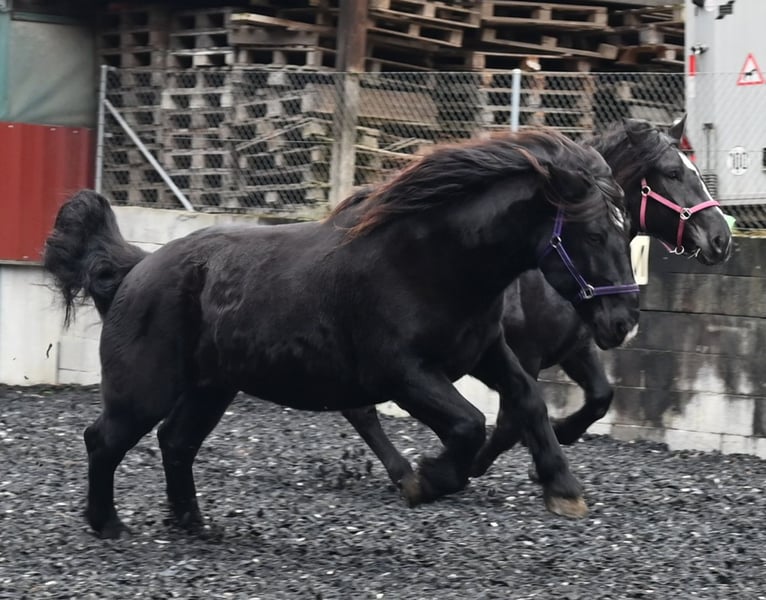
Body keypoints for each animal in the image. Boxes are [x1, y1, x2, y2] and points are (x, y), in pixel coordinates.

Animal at [44, 129, 639, 539]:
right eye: (591, 233)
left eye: (626, 229)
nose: (624, 320)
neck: (428, 262)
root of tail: (137, 268)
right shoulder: (402, 373)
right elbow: (469, 425)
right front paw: (425, 479)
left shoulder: (486, 352)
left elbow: (528, 402)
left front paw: (563, 489)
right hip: (146, 388)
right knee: (104, 439)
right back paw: (107, 523)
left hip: (212, 386)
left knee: (176, 441)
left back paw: (192, 521)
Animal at [339, 116, 733, 485]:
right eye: (673, 173)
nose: (721, 239)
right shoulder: (523, 355)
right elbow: (512, 421)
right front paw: (493, 462)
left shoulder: (575, 348)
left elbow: (600, 397)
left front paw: (555, 439)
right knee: (362, 410)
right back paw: (404, 473)